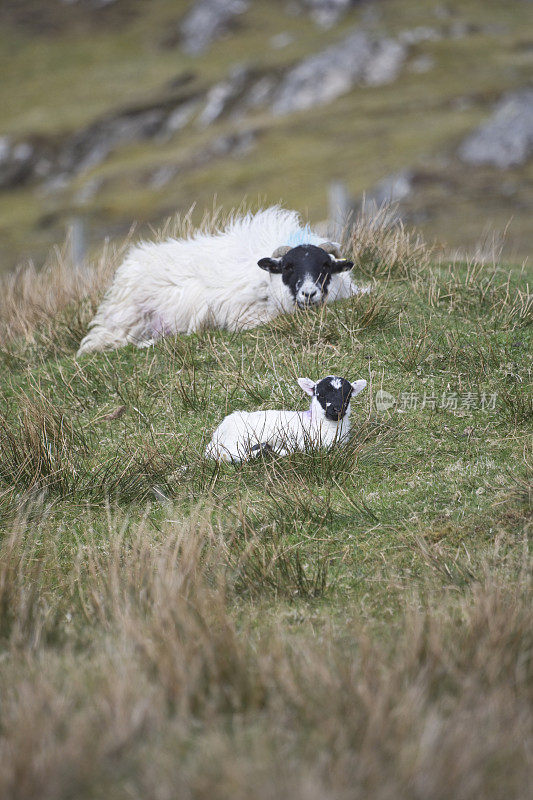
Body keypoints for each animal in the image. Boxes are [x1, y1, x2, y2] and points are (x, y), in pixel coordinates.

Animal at [204, 376, 366, 462]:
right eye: (320, 395)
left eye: (348, 395)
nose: (337, 410)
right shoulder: (306, 443)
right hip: (237, 439)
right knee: (233, 454)